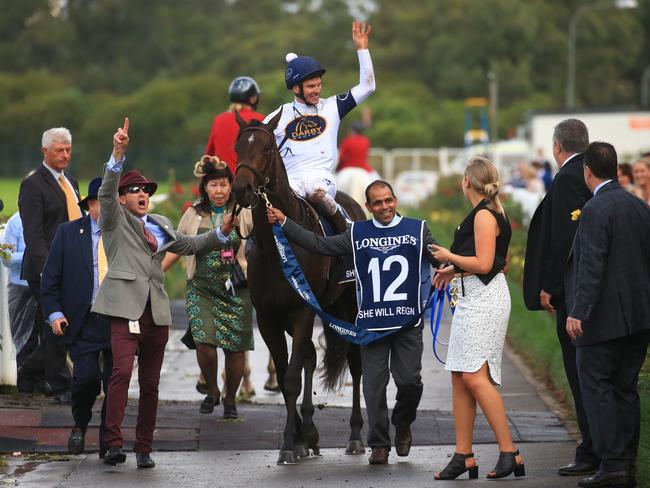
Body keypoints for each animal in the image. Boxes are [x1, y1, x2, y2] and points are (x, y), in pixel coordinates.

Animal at [232, 110, 364, 466]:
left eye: (266, 147)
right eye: (238, 147)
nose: (241, 188)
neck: (278, 245)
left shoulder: (303, 309)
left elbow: (290, 378)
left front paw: (292, 444)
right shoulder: (269, 317)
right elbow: (285, 373)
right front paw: (296, 439)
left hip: (347, 309)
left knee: (356, 363)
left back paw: (356, 436)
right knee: (309, 356)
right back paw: (310, 433)